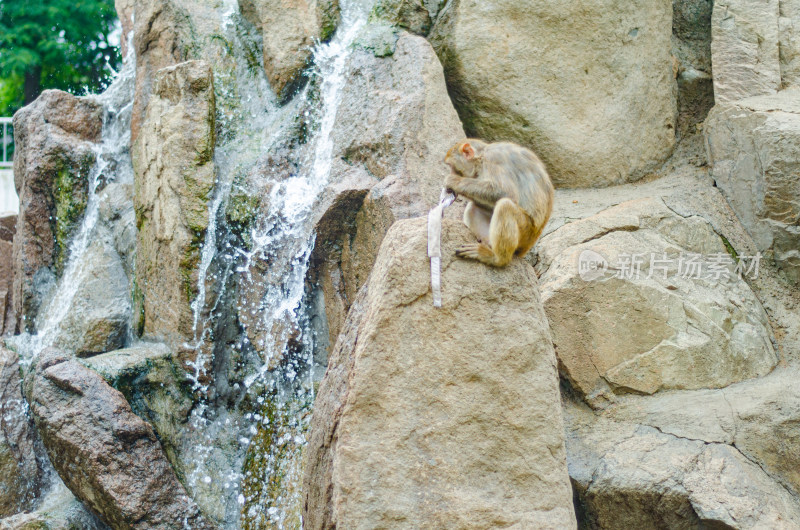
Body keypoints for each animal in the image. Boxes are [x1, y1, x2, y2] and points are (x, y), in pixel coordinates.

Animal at [440, 138, 552, 266]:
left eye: (452, 167)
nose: (451, 173)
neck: (482, 155)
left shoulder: (492, 160)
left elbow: (506, 192)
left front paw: (453, 181)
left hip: (527, 232)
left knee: (505, 206)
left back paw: (496, 258)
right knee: (473, 207)